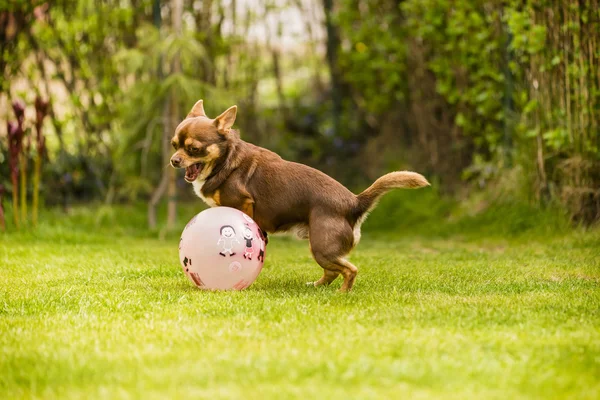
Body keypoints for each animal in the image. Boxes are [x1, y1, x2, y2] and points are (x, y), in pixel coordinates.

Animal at [171, 98, 428, 290]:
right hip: (320, 246)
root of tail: (354, 202)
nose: (174, 160)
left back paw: (343, 294)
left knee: (349, 270)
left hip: (322, 246)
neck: (224, 161)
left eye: (194, 149)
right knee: (333, 272)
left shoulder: (243, 203)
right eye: (174, 145)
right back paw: (317, 286)